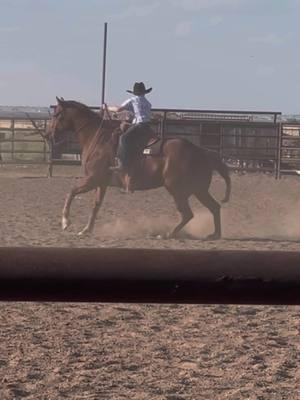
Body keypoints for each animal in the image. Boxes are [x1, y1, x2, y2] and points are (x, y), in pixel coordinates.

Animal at [47, 97, 231, 239]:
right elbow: (96, 205)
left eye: (57, 114)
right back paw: (215, 235)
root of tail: (201, 151)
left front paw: (65, 222)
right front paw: (86, 230)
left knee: (187, 213)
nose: (49, 134)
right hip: (199, 190)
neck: (97, 138)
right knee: (214, 207)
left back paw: (167, 234)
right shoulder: (101, 183)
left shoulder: (92, 179)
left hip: (177, 190)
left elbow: (71, 191)